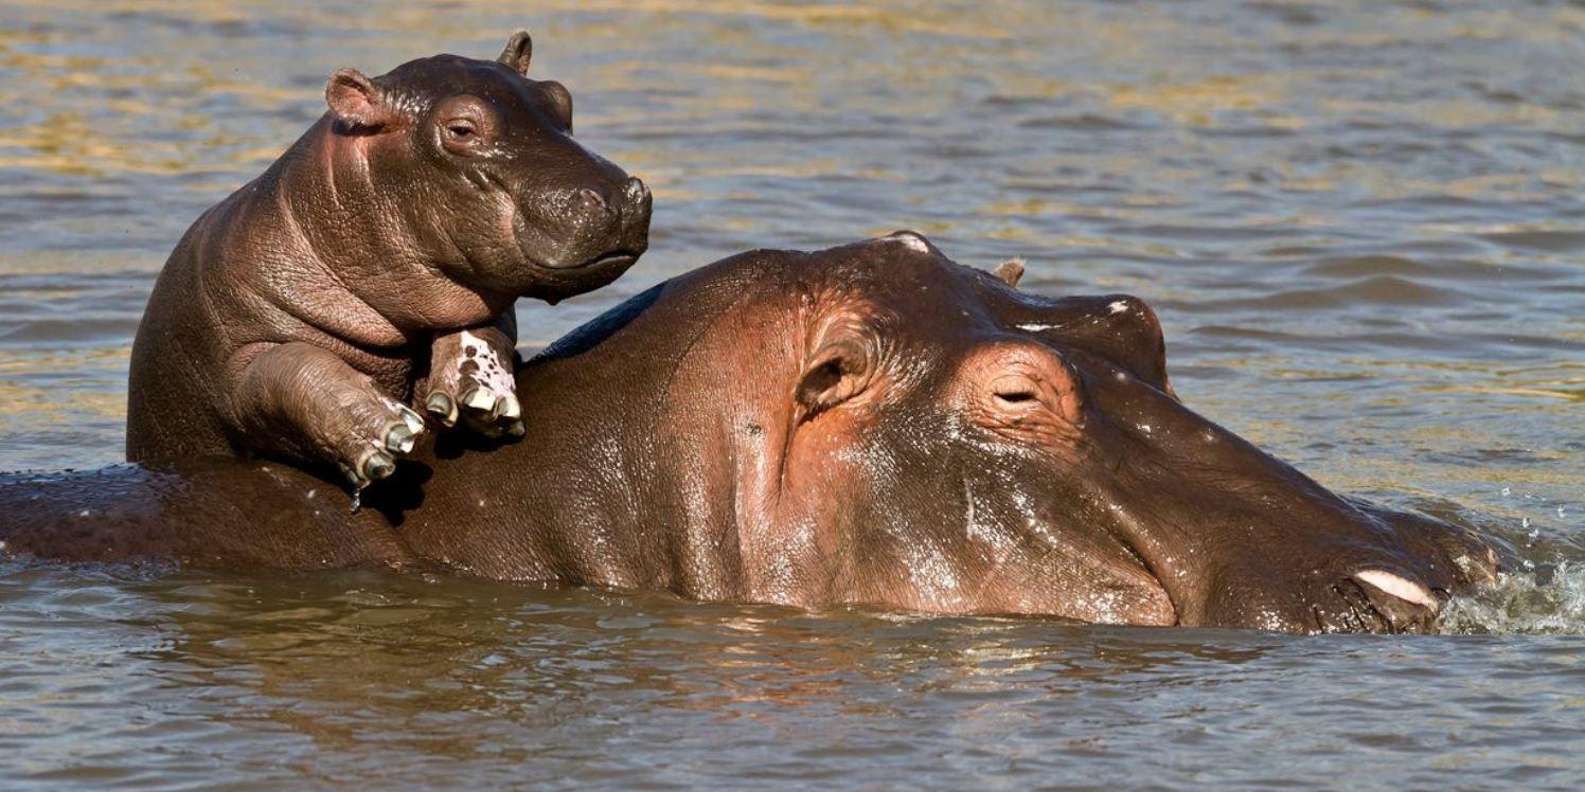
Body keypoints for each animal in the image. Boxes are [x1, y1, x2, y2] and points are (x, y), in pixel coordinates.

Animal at [125, 32, 649, 487]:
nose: (616, 197)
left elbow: (483, 322)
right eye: (461, 128)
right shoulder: (234, 366)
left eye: (561, 98)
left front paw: (482, 393)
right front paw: (385, 431)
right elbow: (289, 367)